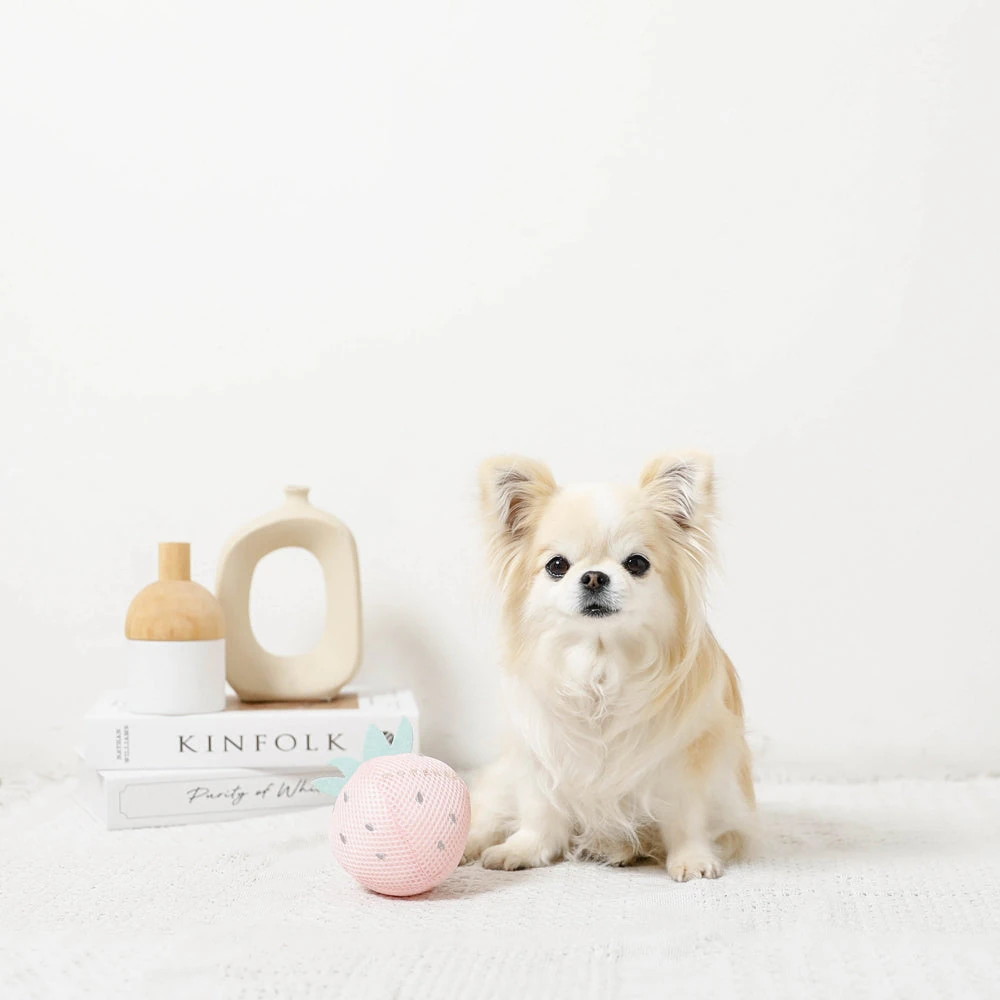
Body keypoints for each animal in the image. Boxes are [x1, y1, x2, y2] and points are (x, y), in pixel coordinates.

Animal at [463, 453, 755, 881]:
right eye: (556, 565)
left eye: (637, 563)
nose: (594, 576)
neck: (599, 663)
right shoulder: (542, 750)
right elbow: (539, 807)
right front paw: (525, 848)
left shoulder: (688, 757)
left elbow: (687, 815)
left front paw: (692, 857)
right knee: (488, 811)